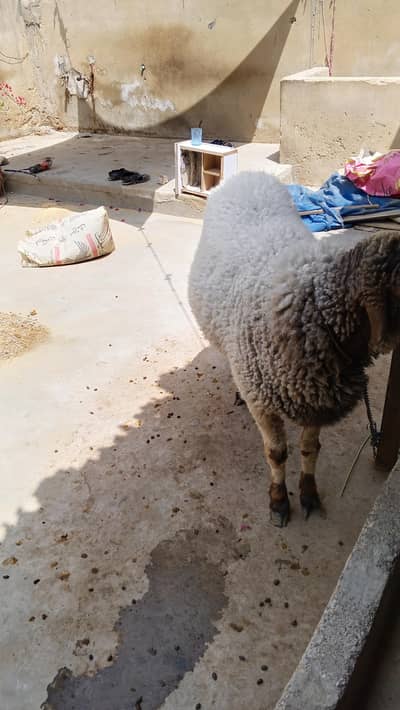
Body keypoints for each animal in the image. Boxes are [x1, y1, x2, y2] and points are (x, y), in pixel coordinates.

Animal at [188, 171, 400, 526]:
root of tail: (248, 174)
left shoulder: (315, 397)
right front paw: (278, 501)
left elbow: (310, 449)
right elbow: (277, 454)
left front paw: (308, 493)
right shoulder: (265, 402)